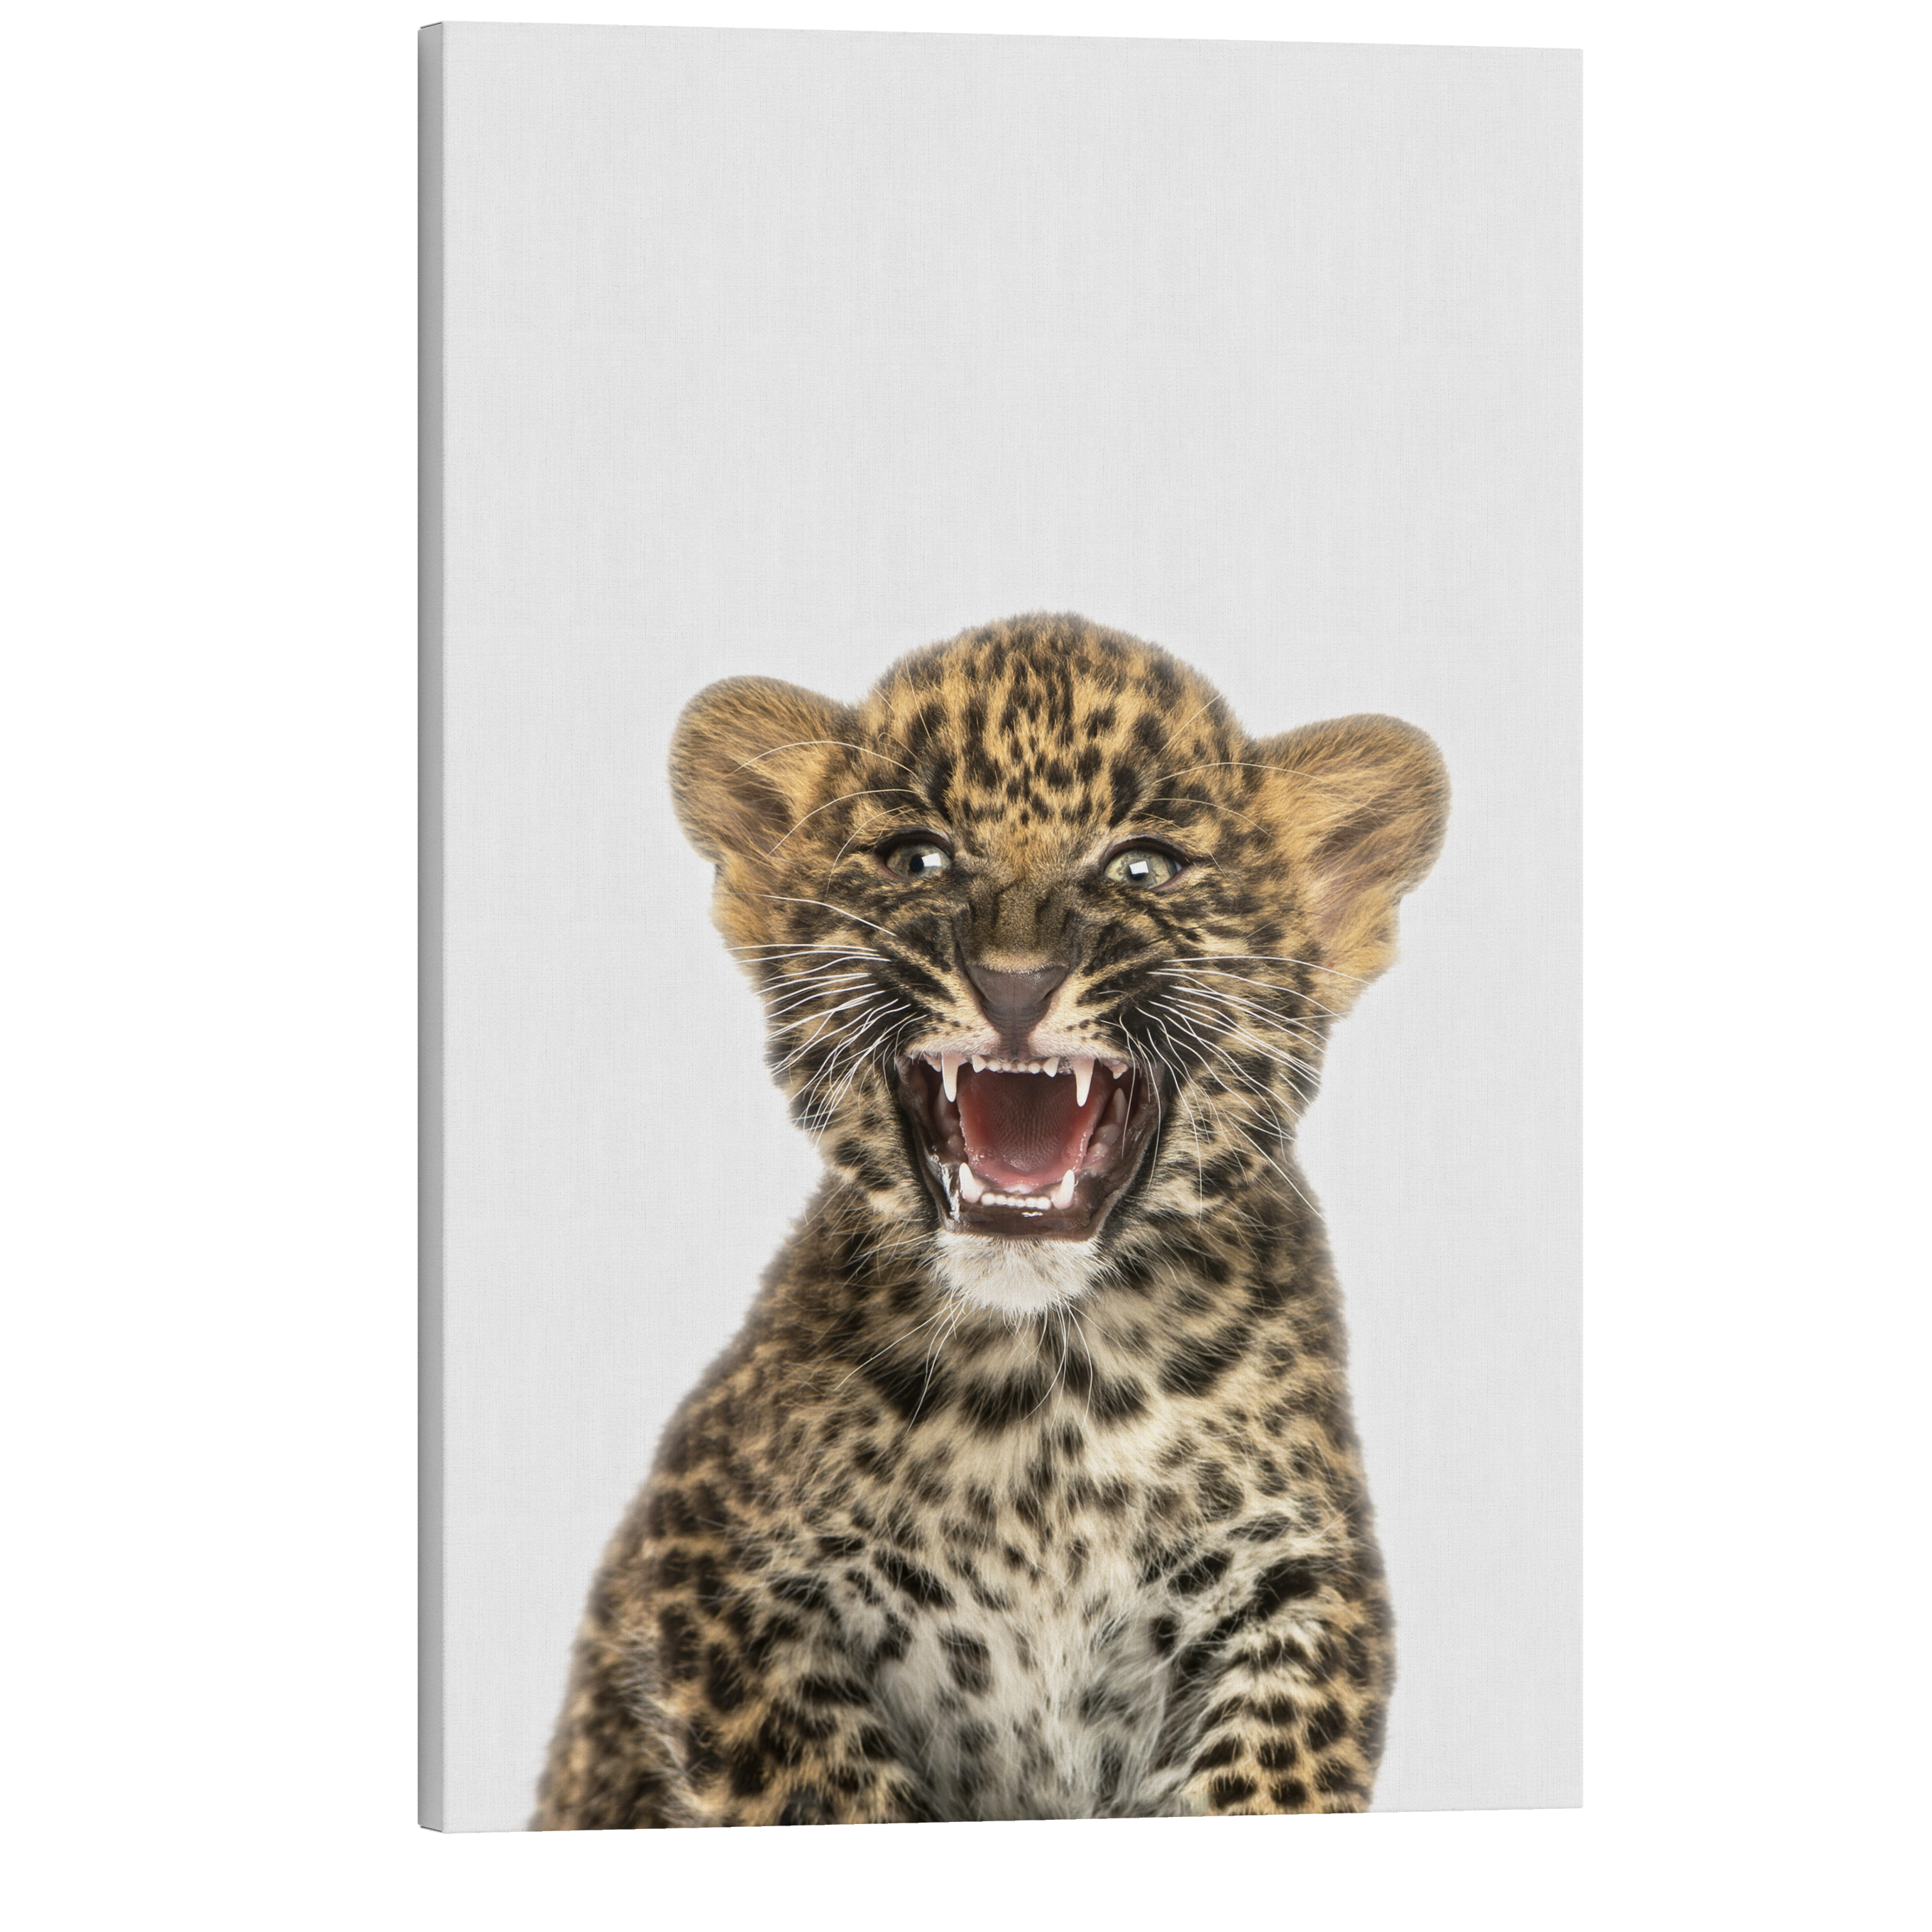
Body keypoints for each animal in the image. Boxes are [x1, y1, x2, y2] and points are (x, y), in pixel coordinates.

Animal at [532, 612, 1449, 1828]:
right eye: (918, 858)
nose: (1015, 979)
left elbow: (1264, 1774)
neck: (1047, 1395)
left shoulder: (1302, 1585)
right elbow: (823, 1784)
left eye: (1142, 865)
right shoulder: (705, 1567)